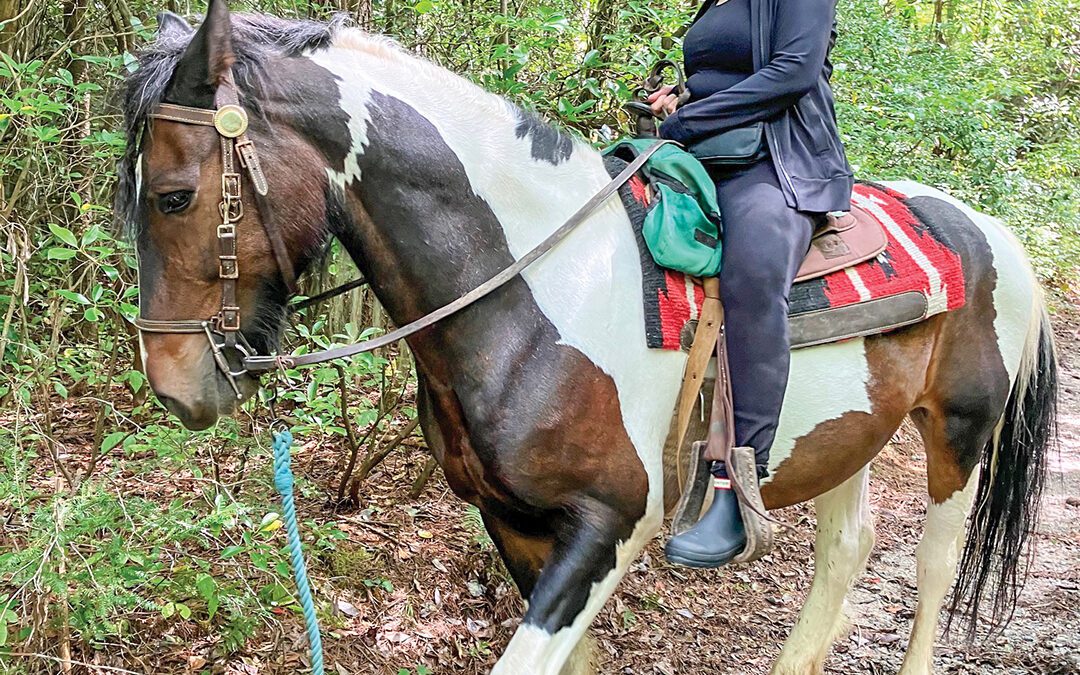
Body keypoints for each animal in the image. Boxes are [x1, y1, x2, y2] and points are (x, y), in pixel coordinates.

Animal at [118, 4, 1058, 674]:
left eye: (172, 194)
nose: (174, 382)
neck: (538, 292)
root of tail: (993, 231)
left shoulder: (613, 522)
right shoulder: (513, 521)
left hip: (958, 433)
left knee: (932, 569)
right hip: (852, 432)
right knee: (846, 551)